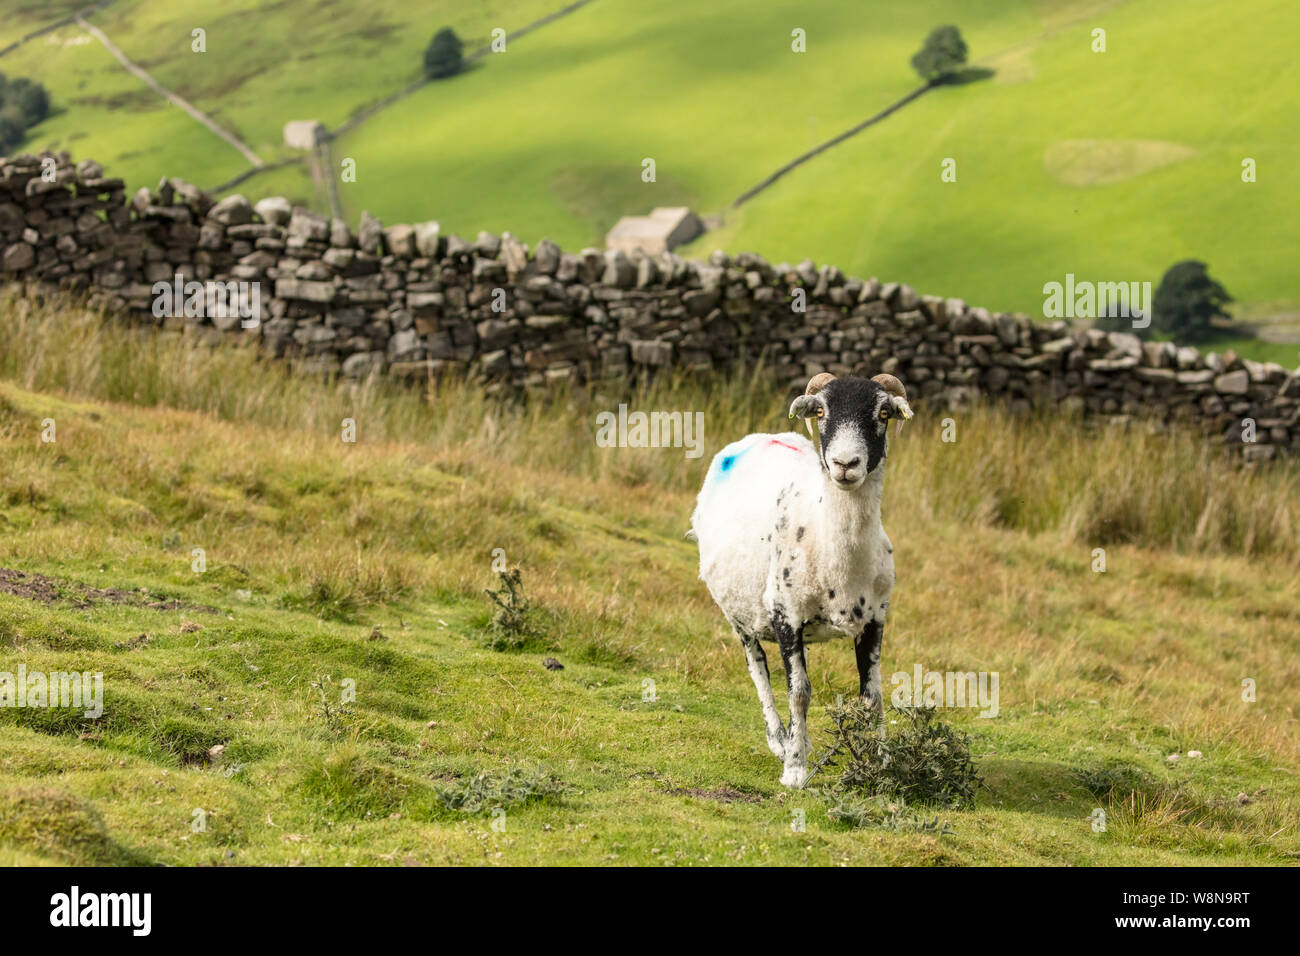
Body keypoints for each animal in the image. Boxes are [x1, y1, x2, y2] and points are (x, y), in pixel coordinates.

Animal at [689, 372, 912, 787]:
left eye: (883, 413)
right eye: (821, 411)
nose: (845, 463)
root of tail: (758, 437)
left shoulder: (876, 618)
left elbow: (872, 697)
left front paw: (880, 765)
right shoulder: (785, 616)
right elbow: (800, 693)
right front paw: (794, 770)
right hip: (740, 615)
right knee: (758, 667)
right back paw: (780, 739)